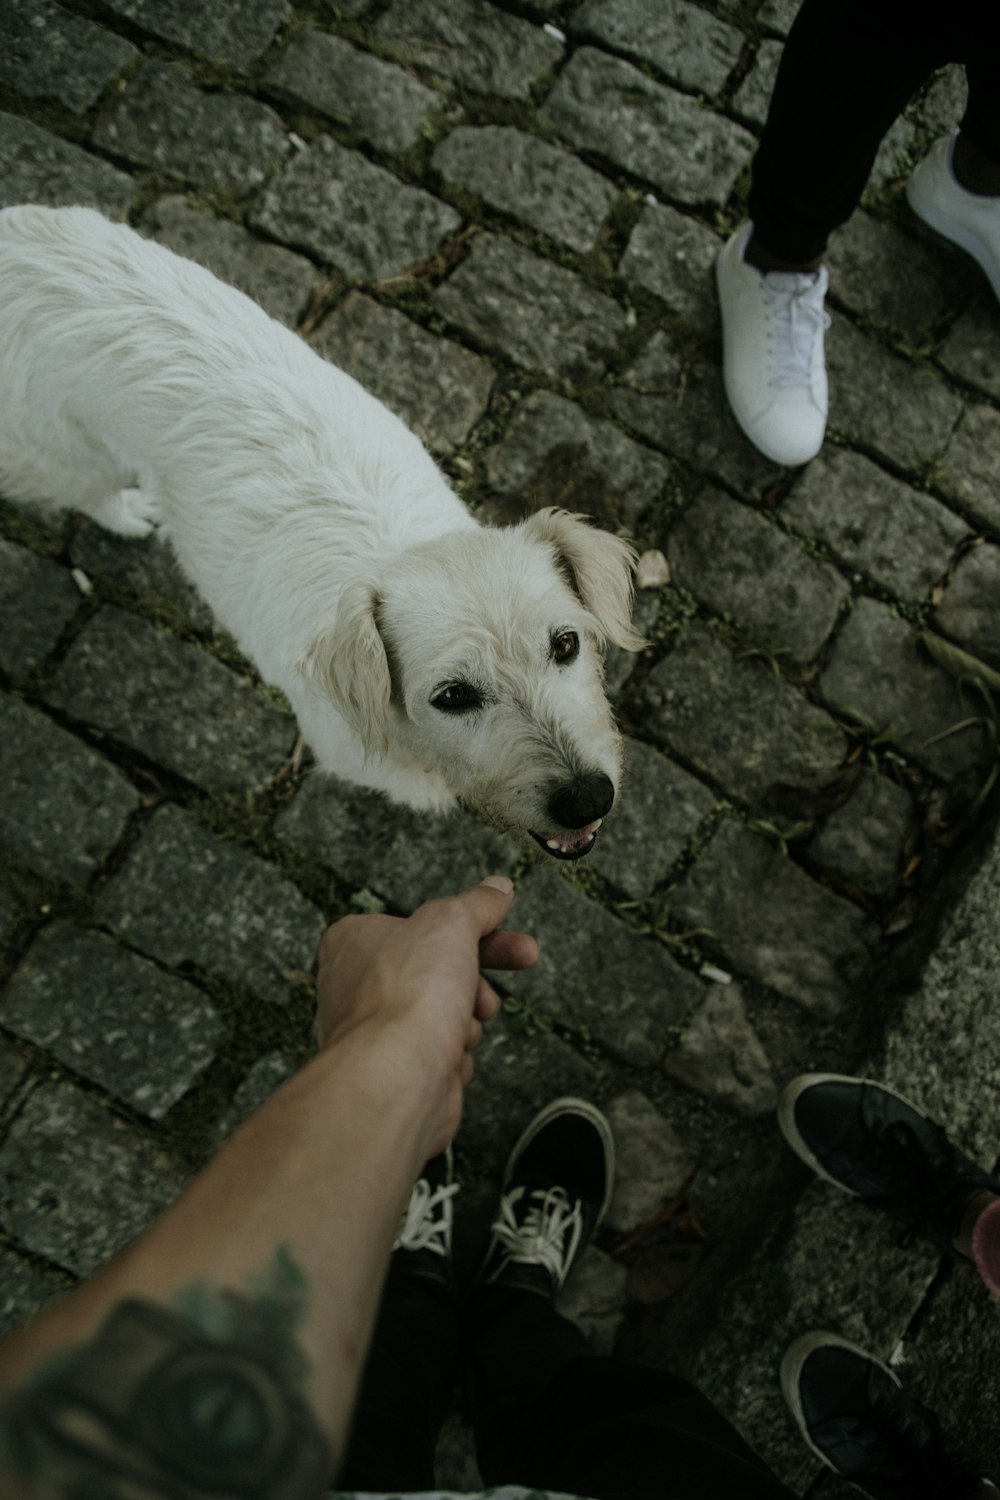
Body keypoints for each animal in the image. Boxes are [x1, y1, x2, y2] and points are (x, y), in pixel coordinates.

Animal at [0, 204, 641, 858]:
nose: (588, 799)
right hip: (63, 452)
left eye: (566, 644)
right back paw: (127, 513)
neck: (396, 549)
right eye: (452, 696)